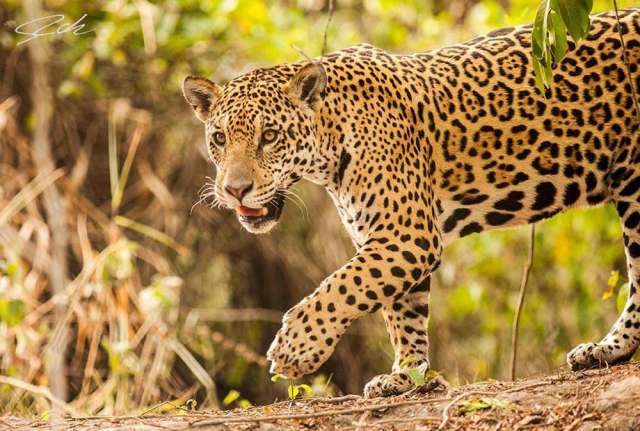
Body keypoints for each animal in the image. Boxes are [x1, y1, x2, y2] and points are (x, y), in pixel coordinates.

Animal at [182, 9, 640, 398]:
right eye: (219, 138)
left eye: (270, 136)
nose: (234, 190)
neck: (329, 145)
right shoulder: (390, 240)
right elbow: (400, 311)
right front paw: (406, 375)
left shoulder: (407, 235)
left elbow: (341, 286)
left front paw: (297, 347)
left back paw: (610, 348)